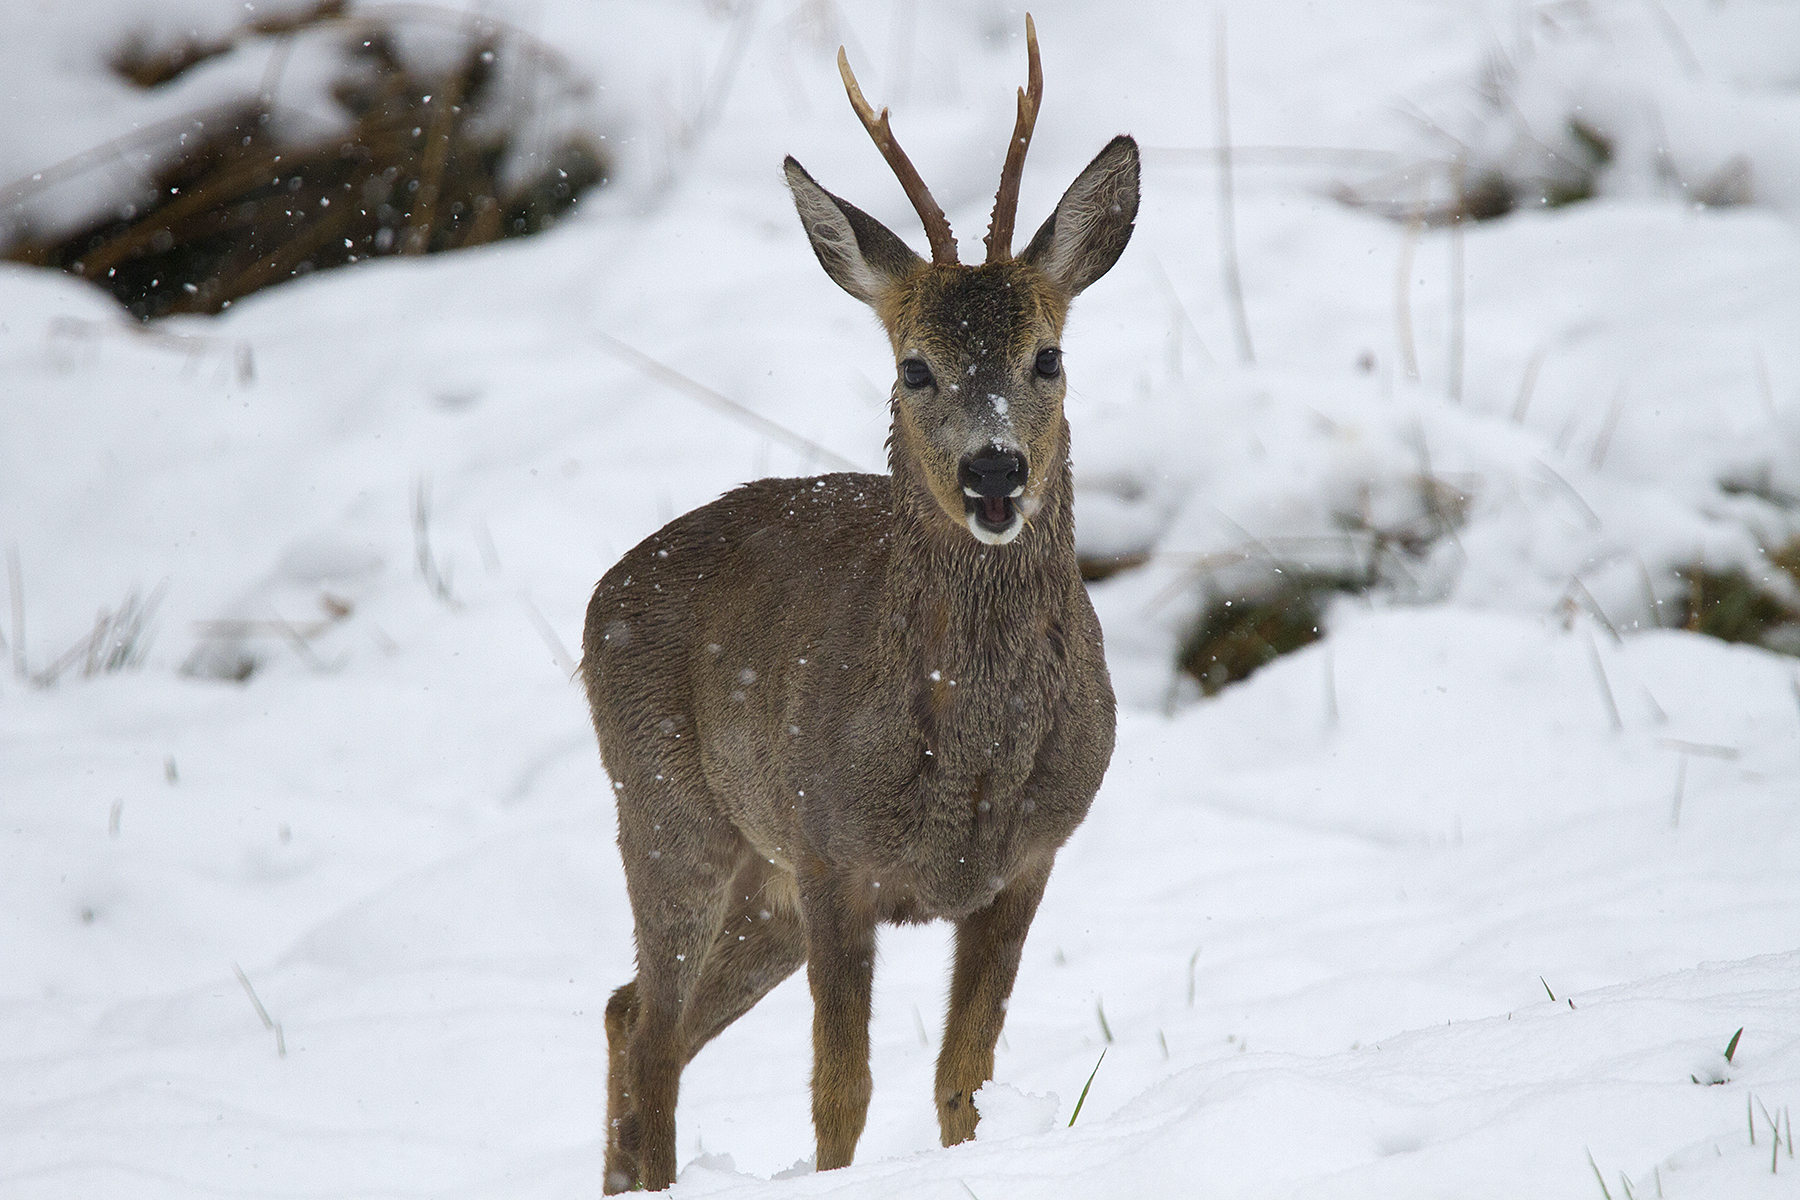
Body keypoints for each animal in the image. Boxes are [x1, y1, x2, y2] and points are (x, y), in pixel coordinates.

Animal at [580, 15, 1136, 1193]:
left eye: (1049, 355)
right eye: (914, 367)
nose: (993, 473)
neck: (971, 756)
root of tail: (607, 587)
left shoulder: (1027, 861)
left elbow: (960, 1081)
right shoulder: (834, 853)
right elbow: (842, 1093)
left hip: (763, 881)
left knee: (628, 1013)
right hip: (666, 812)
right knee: (651, 1031)